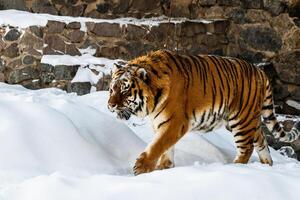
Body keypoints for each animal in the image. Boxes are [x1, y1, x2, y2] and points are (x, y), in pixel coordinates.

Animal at [106, 49, 298, 175]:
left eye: (125, 91)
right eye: (112, 89)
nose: (110, 105)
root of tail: (260, 71)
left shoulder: (175, 122)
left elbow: (157, 145)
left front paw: (141, 167)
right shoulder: (161, 123)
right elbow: (165, 147)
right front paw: (165, 167)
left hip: (241, 120)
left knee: (246, 147)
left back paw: (233, 168)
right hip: (248, 120)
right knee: (262, 141)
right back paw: (267, 167)